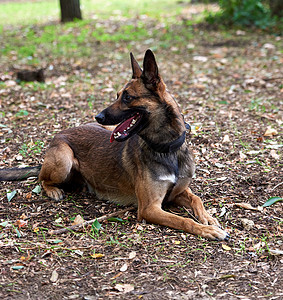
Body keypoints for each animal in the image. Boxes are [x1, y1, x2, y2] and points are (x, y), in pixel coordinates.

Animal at [0, 49, 231, 241]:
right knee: (41, 179)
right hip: (63, 159)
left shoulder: (177, 192)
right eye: (117, 95)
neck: (166, 149)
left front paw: (209, 219)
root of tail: (60, 135)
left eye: (127, 97)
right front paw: (208, 230)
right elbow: (184, 220)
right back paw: (53, 190)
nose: (99, 116)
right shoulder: (149, 208)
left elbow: (197, 199)